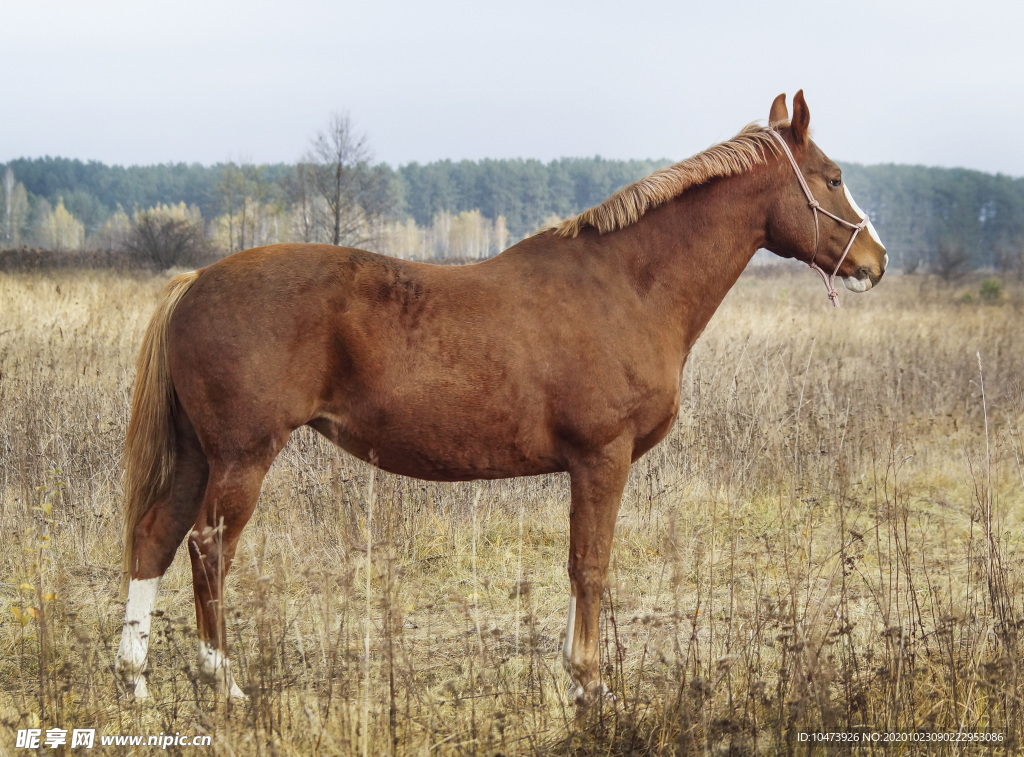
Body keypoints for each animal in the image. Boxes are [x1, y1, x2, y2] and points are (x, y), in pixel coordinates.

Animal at [114, 93, 888, 704]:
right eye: (833, 177)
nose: (876, 262)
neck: (627, 285)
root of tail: (195, 281)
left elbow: (578, 565)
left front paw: (574, 676)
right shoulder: (602, 459)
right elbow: (591, 566)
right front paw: (590, 686)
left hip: (198, 455)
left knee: (155, 537)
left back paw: (137, 681)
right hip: (242, 457)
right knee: (209, 548)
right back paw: (225, 683)